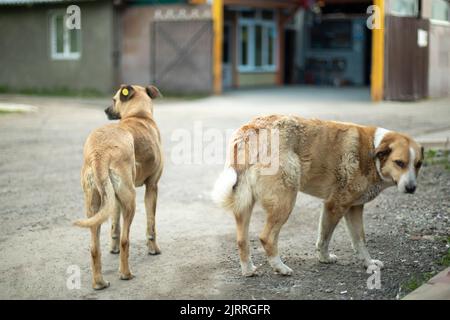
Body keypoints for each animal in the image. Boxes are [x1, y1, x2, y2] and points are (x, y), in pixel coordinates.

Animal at [74, 84, 163, 288]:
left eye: (113, 100)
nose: (106, 110)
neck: (139, 115)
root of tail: (99, 152)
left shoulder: (113, 198)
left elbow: (114, 226)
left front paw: (112, 249)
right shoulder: (152, 187)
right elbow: (151, 226)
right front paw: (153, 249)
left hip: (94, 205)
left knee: (94, 247)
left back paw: (99, 282)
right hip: (130, 199)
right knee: (125, 240)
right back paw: (125, 273)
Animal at [213, 115, 424, 278]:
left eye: (418, 164)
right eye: (399, 163)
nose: (412, 188)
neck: (373, 150)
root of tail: (251, 131)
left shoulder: (353, 208)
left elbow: (359, 240)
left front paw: (368, 263)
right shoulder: (335, 205)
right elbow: (325, 238)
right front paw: (324, 258)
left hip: (244, 203)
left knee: (242, 240)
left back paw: (248, 270)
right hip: (286, 200)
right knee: (266, 237)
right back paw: (280, 268)